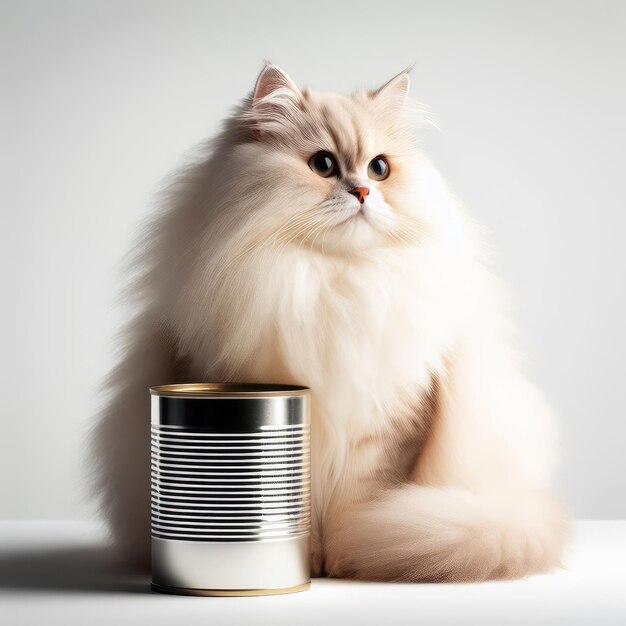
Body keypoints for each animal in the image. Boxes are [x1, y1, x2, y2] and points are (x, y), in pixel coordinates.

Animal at [90, 63, 568, 580]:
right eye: (322, 165)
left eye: (379, 168)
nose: (362, 191)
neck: (334, 284)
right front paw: (313, 561)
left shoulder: (387, 429)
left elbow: (358, 504)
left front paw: (345, 555)